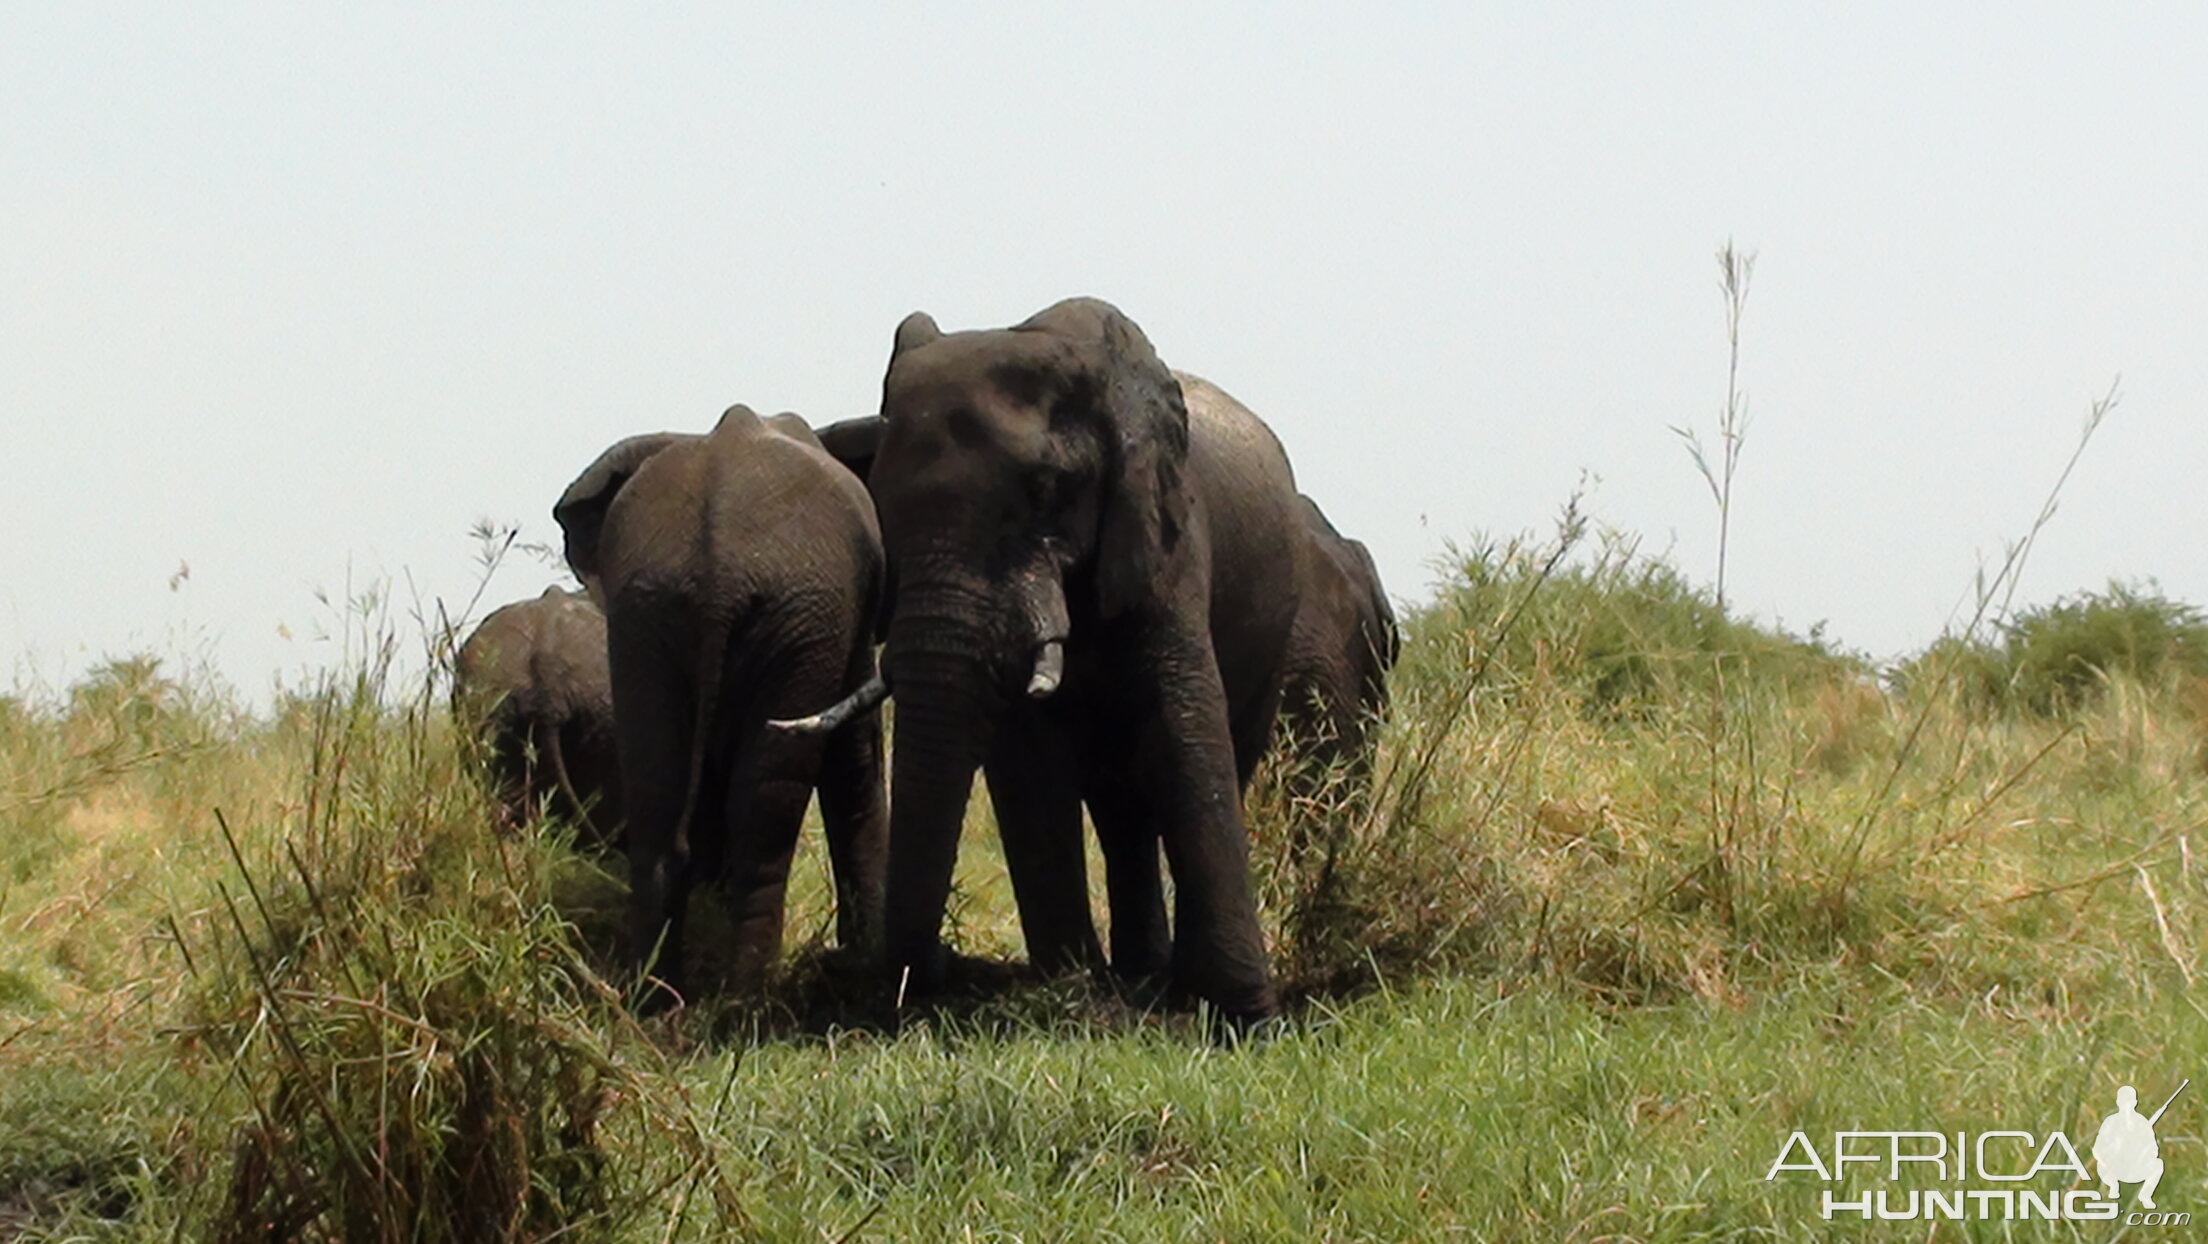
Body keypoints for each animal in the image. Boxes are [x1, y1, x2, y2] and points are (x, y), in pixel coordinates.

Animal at [552, 408, 887, 1003]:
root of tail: (719, 568)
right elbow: (854, 762)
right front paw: (864, 962)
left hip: (647, 614)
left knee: (658, 791)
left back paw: (654, 1000)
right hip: (797, 617)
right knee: (764, 810)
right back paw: (745, 1001)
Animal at [790, 296, 1298, 1025]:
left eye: (1046, 489)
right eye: (881, 500)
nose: (923, 979)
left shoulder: (1166, 538)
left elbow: (1184, 732)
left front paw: (1246, 1022)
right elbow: (1030, 765)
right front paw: (1076, 1000)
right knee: (1119, 807)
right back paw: (1138, 979)